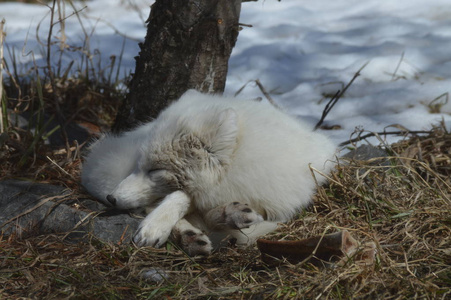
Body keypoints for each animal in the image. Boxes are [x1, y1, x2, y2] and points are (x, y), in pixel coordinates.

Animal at [80, 89, 336, 255]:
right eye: (139, 165)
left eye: (155, 170)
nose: (111, 198)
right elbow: (183, 197)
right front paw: (157, 226)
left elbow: (186, 196)